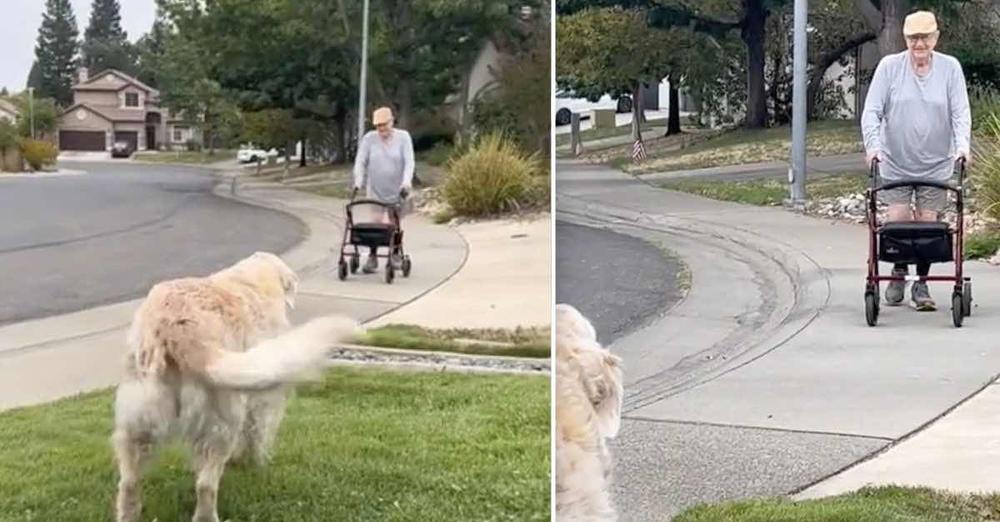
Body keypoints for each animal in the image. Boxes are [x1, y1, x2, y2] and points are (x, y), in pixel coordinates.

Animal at [112, 250, 360, 516]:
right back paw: (208, 513)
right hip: (222, 423)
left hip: (139, 420)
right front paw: (256, 462)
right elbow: (257, 432)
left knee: (129, 482)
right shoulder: (264, 396)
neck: (255, 277)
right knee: (206, 485)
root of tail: (178, 328)